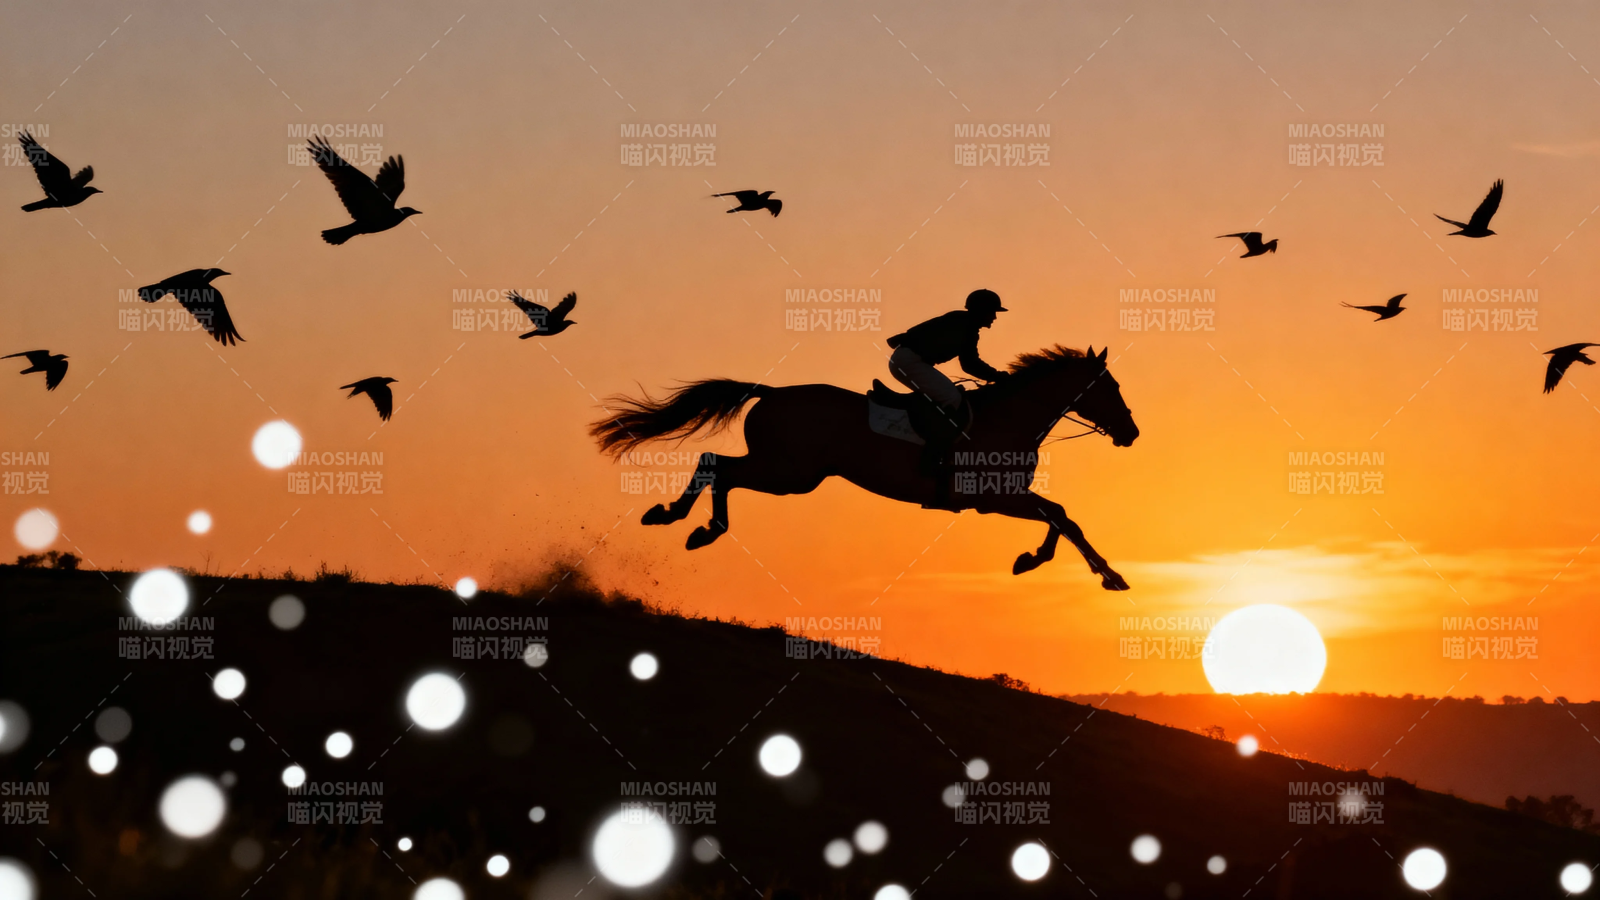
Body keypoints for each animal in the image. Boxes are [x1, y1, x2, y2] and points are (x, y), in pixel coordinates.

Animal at [589, 345, 1139, 589]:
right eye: (1109, 388)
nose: (1131, 434)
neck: (1010, 417)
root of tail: (773, 392)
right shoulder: (990, 497)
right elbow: (1062, 516)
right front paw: (1106, 575)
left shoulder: (1001, 498)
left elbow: (1060, 516)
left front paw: (1035, 560)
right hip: (791, 475)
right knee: (719, 469)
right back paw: (689, 523)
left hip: (787, 470)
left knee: (715, 464)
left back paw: (686, 523)